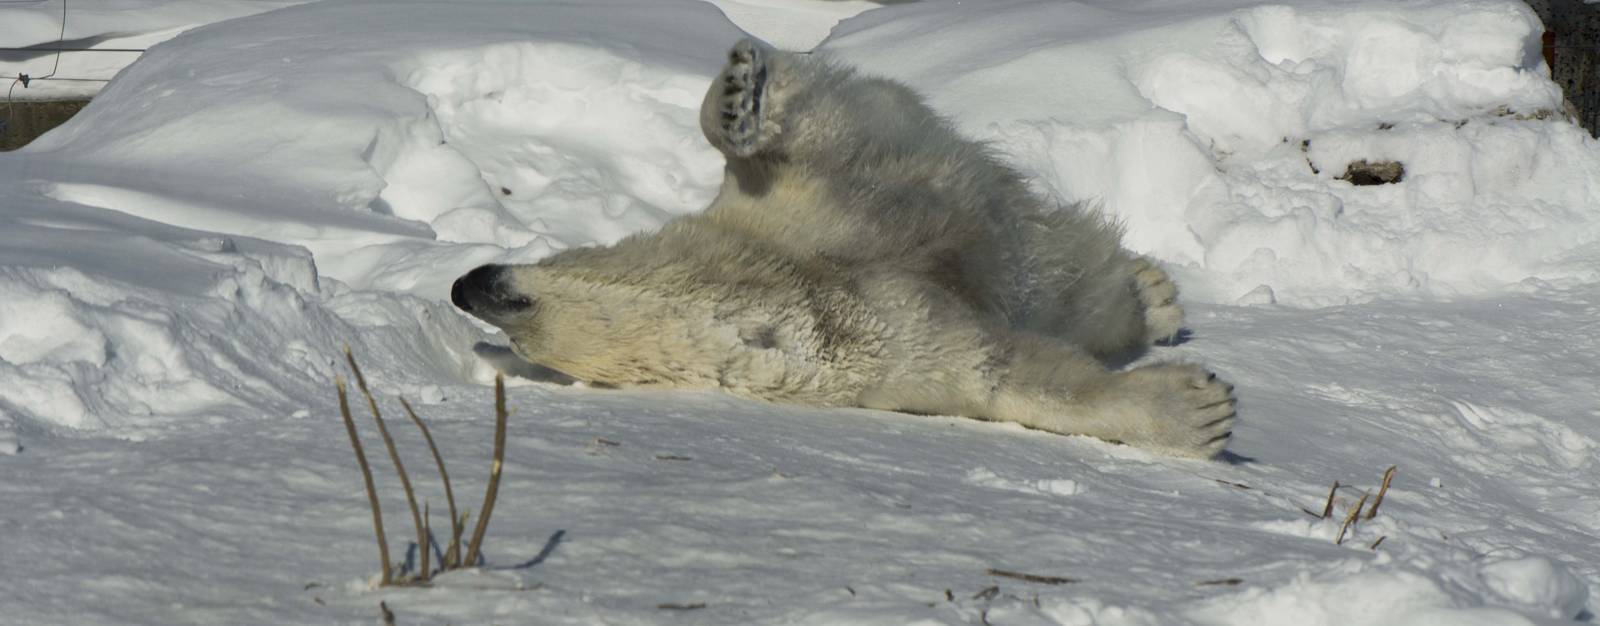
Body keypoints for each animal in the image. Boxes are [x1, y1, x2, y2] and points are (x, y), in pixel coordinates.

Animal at [451, 39, 1237, 459]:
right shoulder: (889, 353)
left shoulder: (820, 209)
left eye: (519, 314)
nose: (469, 283)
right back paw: (1154, 297)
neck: (772, 283)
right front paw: (1200, 411)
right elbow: (1004, 374)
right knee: (1071, 291)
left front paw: (738, 99)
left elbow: (809, 143)